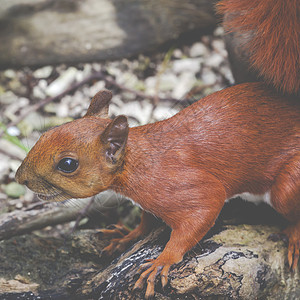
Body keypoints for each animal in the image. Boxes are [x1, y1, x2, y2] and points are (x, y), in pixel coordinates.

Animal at [15, 83, 300, 296]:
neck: (137, 161)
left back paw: (294, 238)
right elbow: (146, 221)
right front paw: (127, 236)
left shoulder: (189, 187)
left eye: (68, 164)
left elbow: (202, 212)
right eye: (45, 134)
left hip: (286, 186)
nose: (20, 178)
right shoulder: (148, 202)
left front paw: (163, 260)